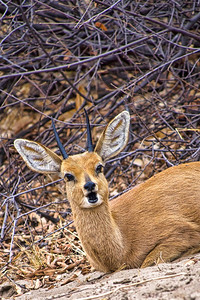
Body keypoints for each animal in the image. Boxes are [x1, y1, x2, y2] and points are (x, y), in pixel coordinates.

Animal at [13, 110, 200, 272]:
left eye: (99, 166)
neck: (122, 246)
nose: (90, 186)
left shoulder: (181, 233)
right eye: (68, 175)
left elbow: (149, 261)